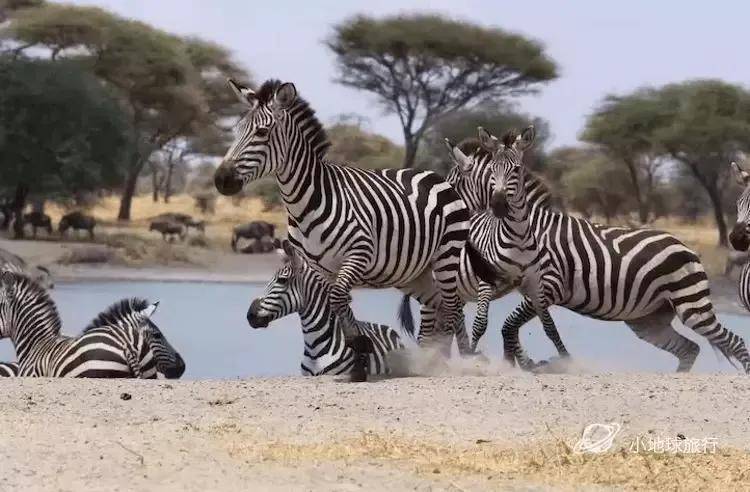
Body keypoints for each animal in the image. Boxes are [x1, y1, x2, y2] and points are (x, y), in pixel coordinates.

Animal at [464, 127, 750, 372]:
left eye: (516, 170)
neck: (526, 230)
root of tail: (686, 248)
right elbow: (505, 326)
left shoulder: (548, 286)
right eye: (492, 171)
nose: (498, 206)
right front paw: (516, 363)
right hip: (648, 319)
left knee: (734, 343)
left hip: (692, 306)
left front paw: (520, 364)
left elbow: (509, 325)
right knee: (689, 349)